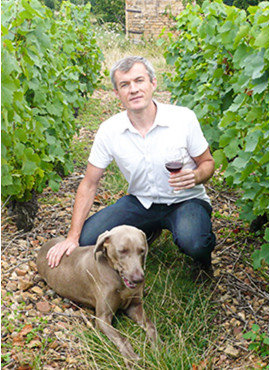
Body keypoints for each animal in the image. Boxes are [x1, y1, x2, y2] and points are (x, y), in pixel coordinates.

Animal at [37, 225, 157, 364]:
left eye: (142, 251)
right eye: (122, 251)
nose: (138, 279)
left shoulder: (135, 306)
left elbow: (151, 326)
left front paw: (158, 348)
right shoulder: (102, 318)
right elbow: (121, 338)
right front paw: (132, 358)